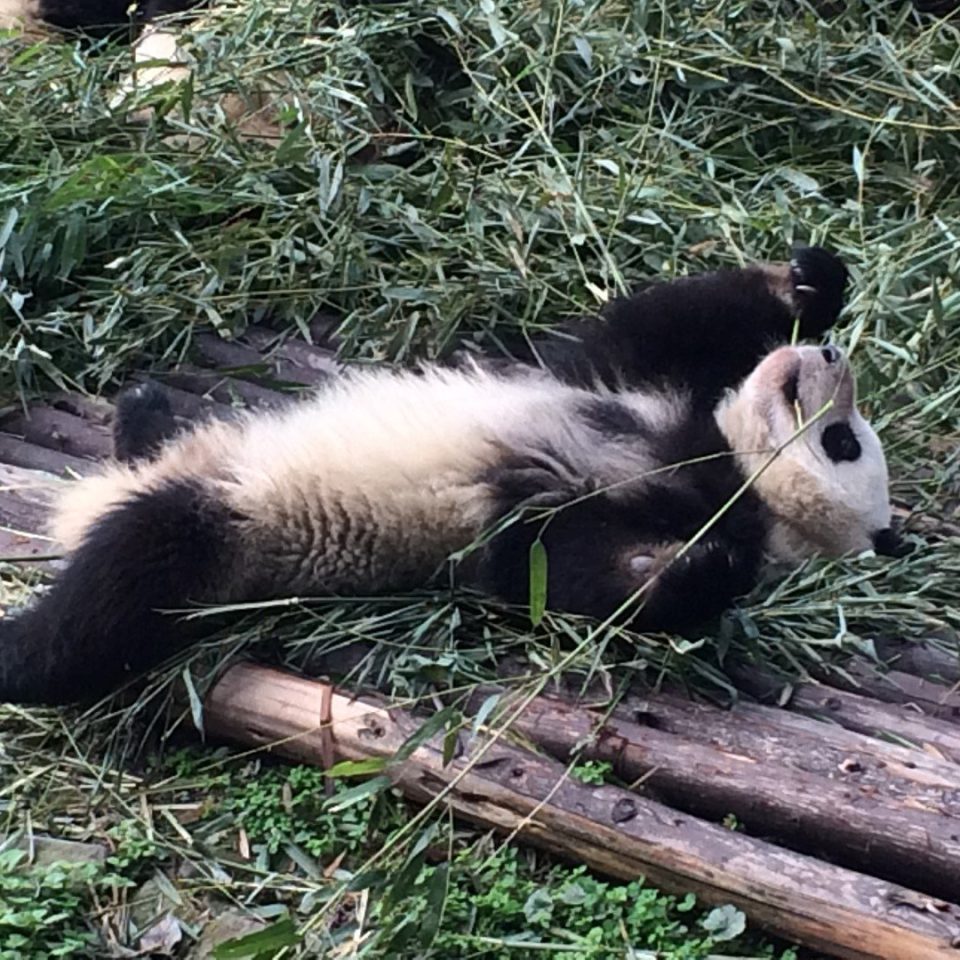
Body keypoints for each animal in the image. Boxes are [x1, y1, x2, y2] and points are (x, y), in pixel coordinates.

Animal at [0, 247, 902, 706]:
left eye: (842, 443)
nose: (830, 359)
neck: (724, 472)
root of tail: (85, 505)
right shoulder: (631, 391)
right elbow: (656, 322)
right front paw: (811, 281)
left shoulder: (555, 509)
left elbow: (559, 573)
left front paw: (691, 570)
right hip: (214, 449)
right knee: (164, 434)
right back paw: (141, 409)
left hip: (241, 529)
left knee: (125, 584)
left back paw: (21, 653)